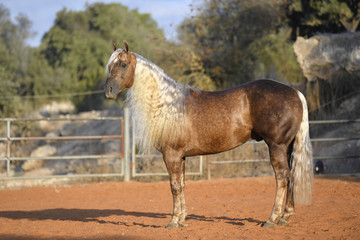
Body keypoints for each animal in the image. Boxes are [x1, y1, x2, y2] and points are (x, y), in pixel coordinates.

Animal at [104, 40, 312, 229]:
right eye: (110, 65)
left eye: (123, 64)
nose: (109, 91)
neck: (168, 104)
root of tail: (296, 93)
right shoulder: (181, 157)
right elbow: (182, 184)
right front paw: (182, 219)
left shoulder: (171, 155)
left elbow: (174, 186)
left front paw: (173, 221)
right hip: (288, 147)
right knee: (291, 175)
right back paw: (285, 216)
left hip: (277, 146)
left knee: (282, 176)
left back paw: (272, 219)